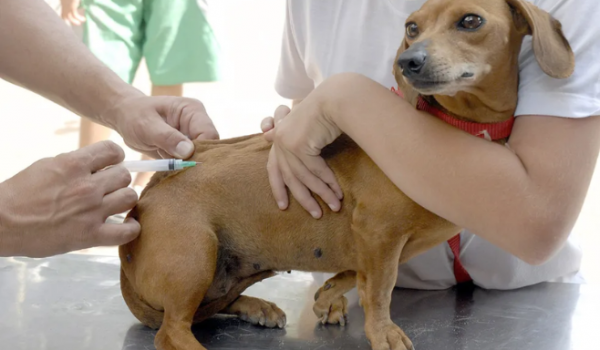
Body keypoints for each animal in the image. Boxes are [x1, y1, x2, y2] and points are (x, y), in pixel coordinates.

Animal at [117, 0, 572, 350]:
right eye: (412, 27)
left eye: (471, 20)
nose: (408, 62)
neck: (452, 127)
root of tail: (146, 197)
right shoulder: (378, 232)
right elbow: (379, 289)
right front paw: (382, 331)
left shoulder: (381, 243)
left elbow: (360, 274)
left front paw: (329, 294)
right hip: (196, 257)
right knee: (173, 330)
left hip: (224, 272)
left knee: (204, 311)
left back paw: (256, 307)